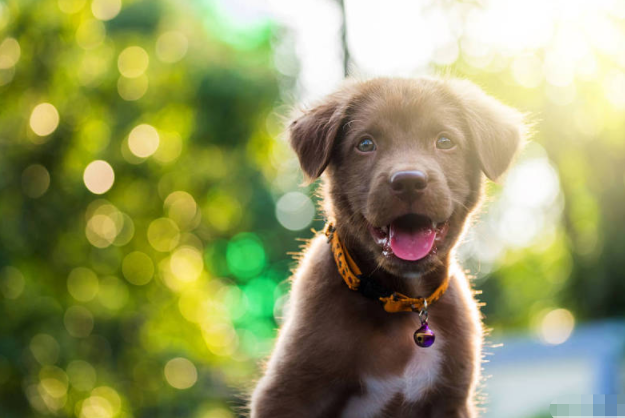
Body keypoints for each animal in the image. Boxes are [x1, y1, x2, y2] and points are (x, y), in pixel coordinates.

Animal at [247, 77, 520, 418]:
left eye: (445, 141)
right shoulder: (287, 395)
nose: (408, 182)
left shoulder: (452, 400)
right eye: (365, 144)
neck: (402, 302)